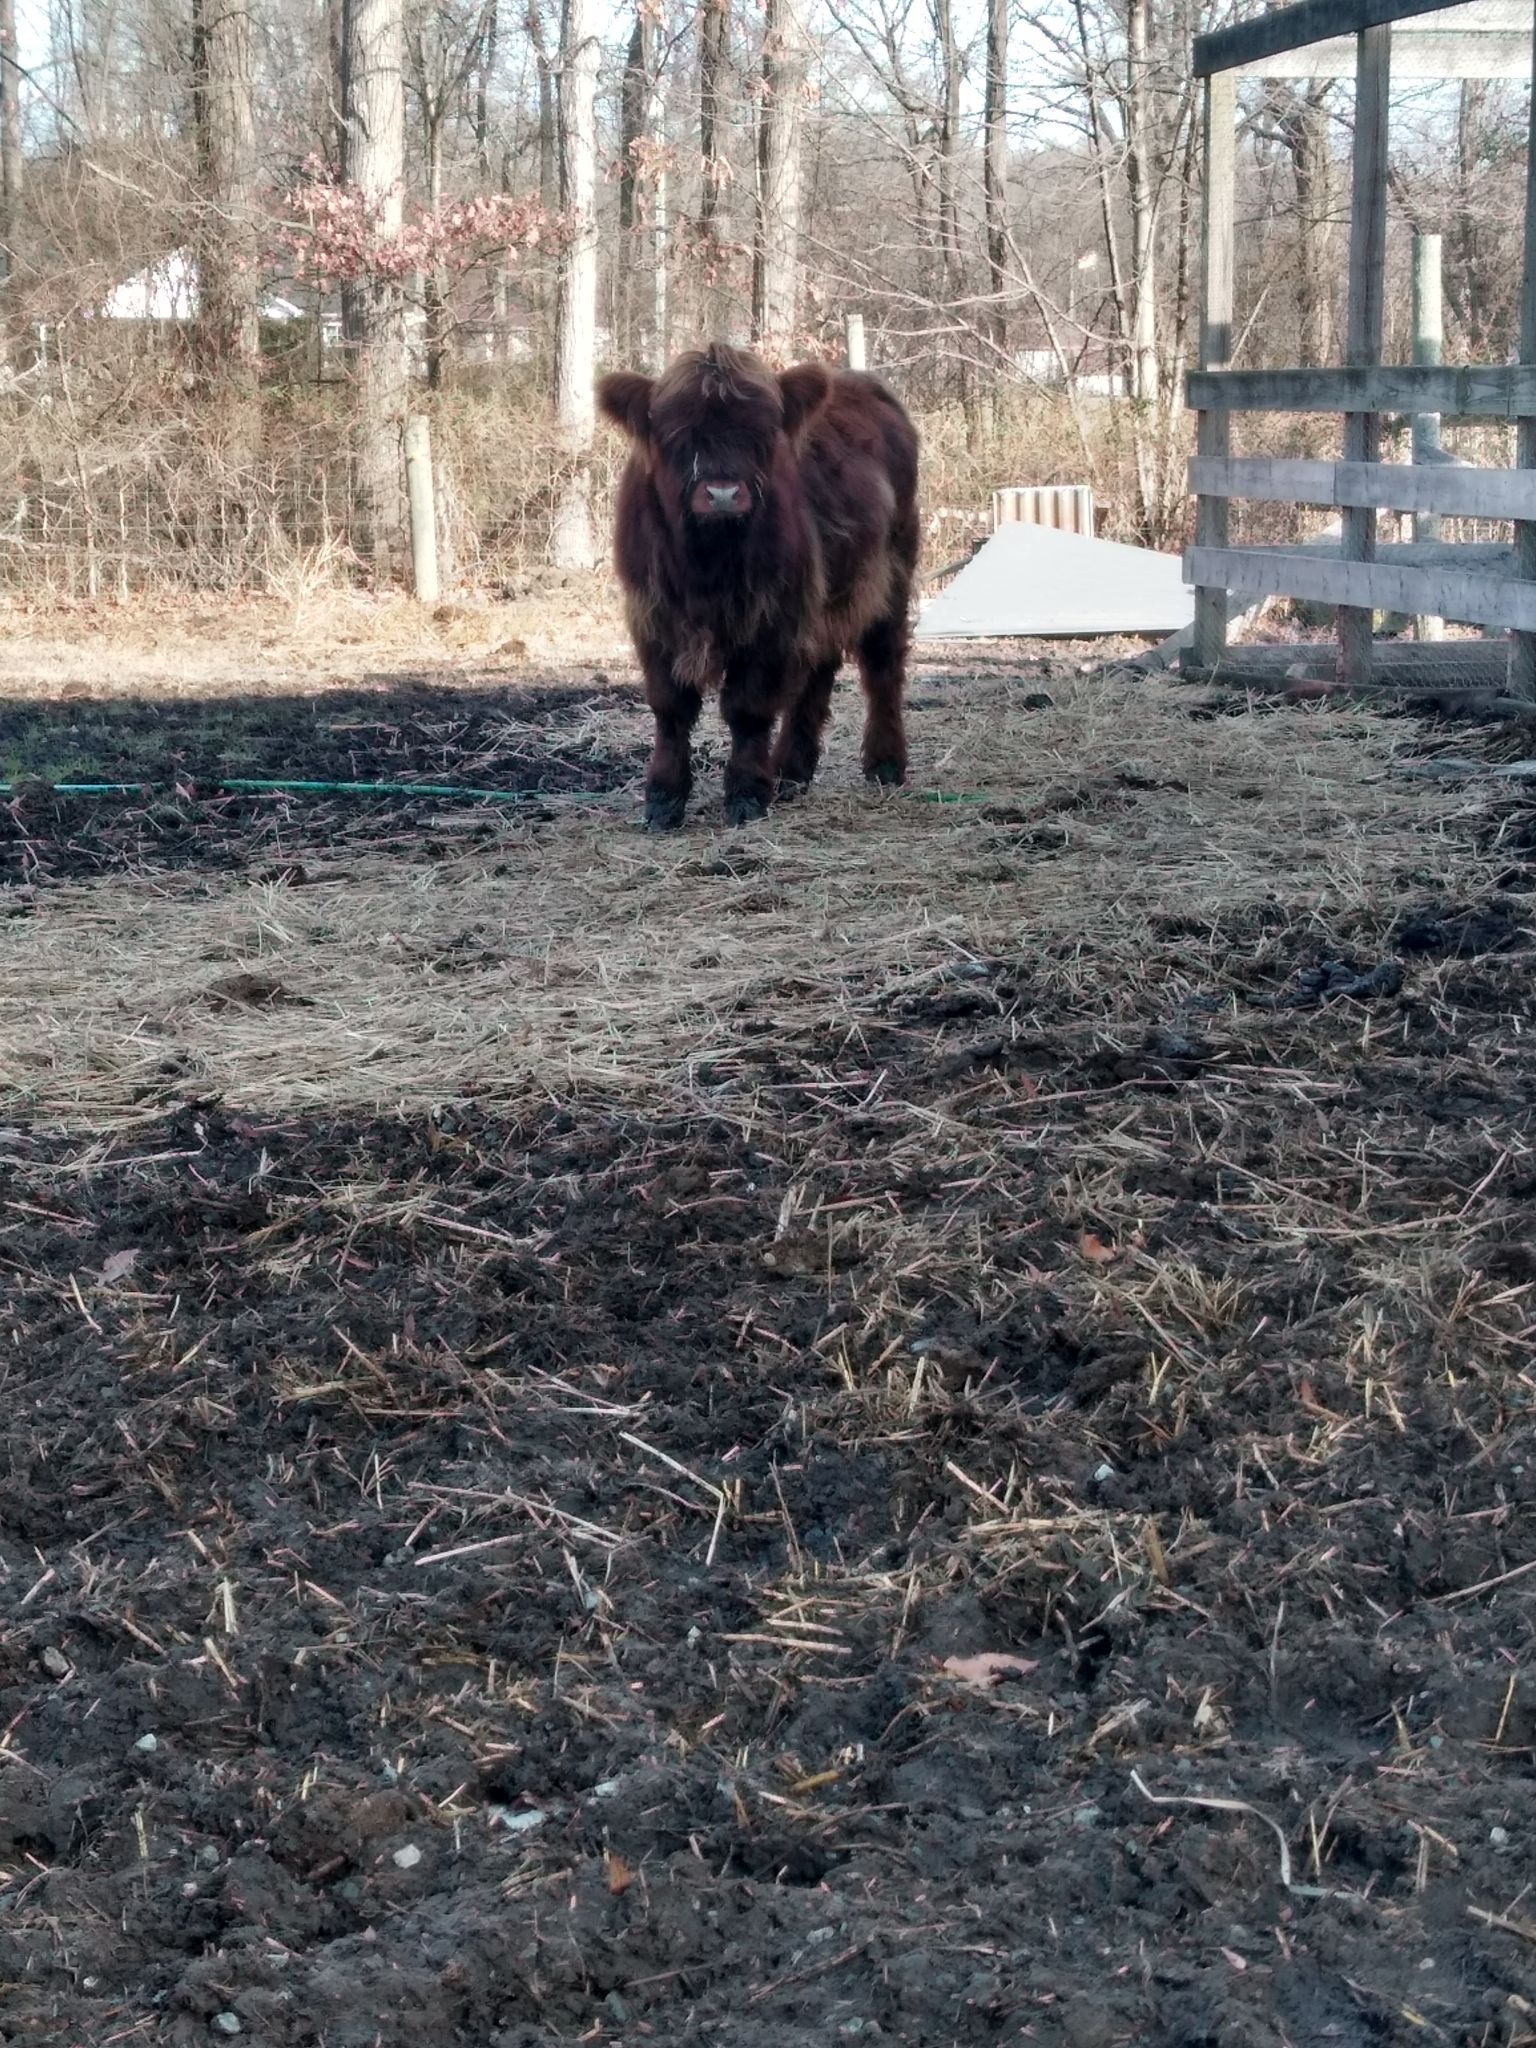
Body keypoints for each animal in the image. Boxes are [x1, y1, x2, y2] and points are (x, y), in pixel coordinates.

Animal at [593, 339, 921, 827]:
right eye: (677, 433)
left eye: (761, 433)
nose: (723, 494)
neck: (707, 563)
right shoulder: (652, 613)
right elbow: (671, 707)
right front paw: (664, 798)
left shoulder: (772, 615)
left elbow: (748, 708)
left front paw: (746, 794)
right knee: (816, 676)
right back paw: (790, 771)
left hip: (890, 576)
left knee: (883, 667)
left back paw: (884, 764)